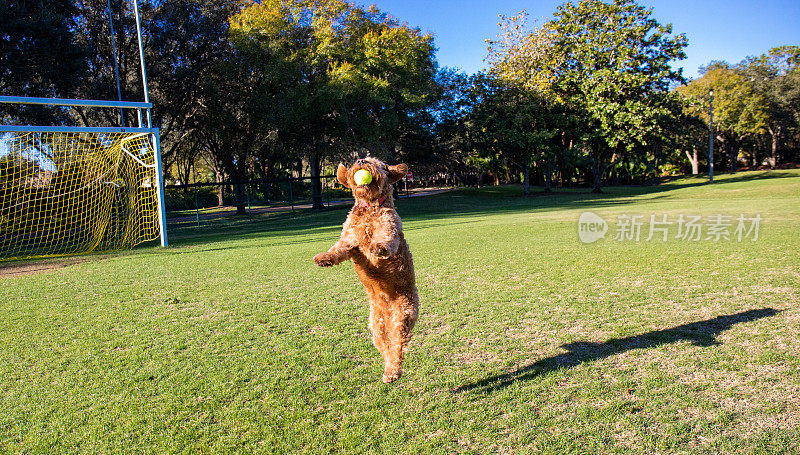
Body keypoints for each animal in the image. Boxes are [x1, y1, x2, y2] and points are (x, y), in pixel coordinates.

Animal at [316, 159, 422, 382]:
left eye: (378, 163)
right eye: (359, 160)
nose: (361, 161)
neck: (369, 208)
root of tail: (388, 313)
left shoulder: (389, 228)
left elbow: (385, 241)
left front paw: (377, 247)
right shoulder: (347, 240)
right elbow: (337, 250)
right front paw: (324, 258)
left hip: (403, 316)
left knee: (398, 348)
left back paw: (393, 372)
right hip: (377, 327)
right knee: (387, 348)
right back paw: (388, 367)